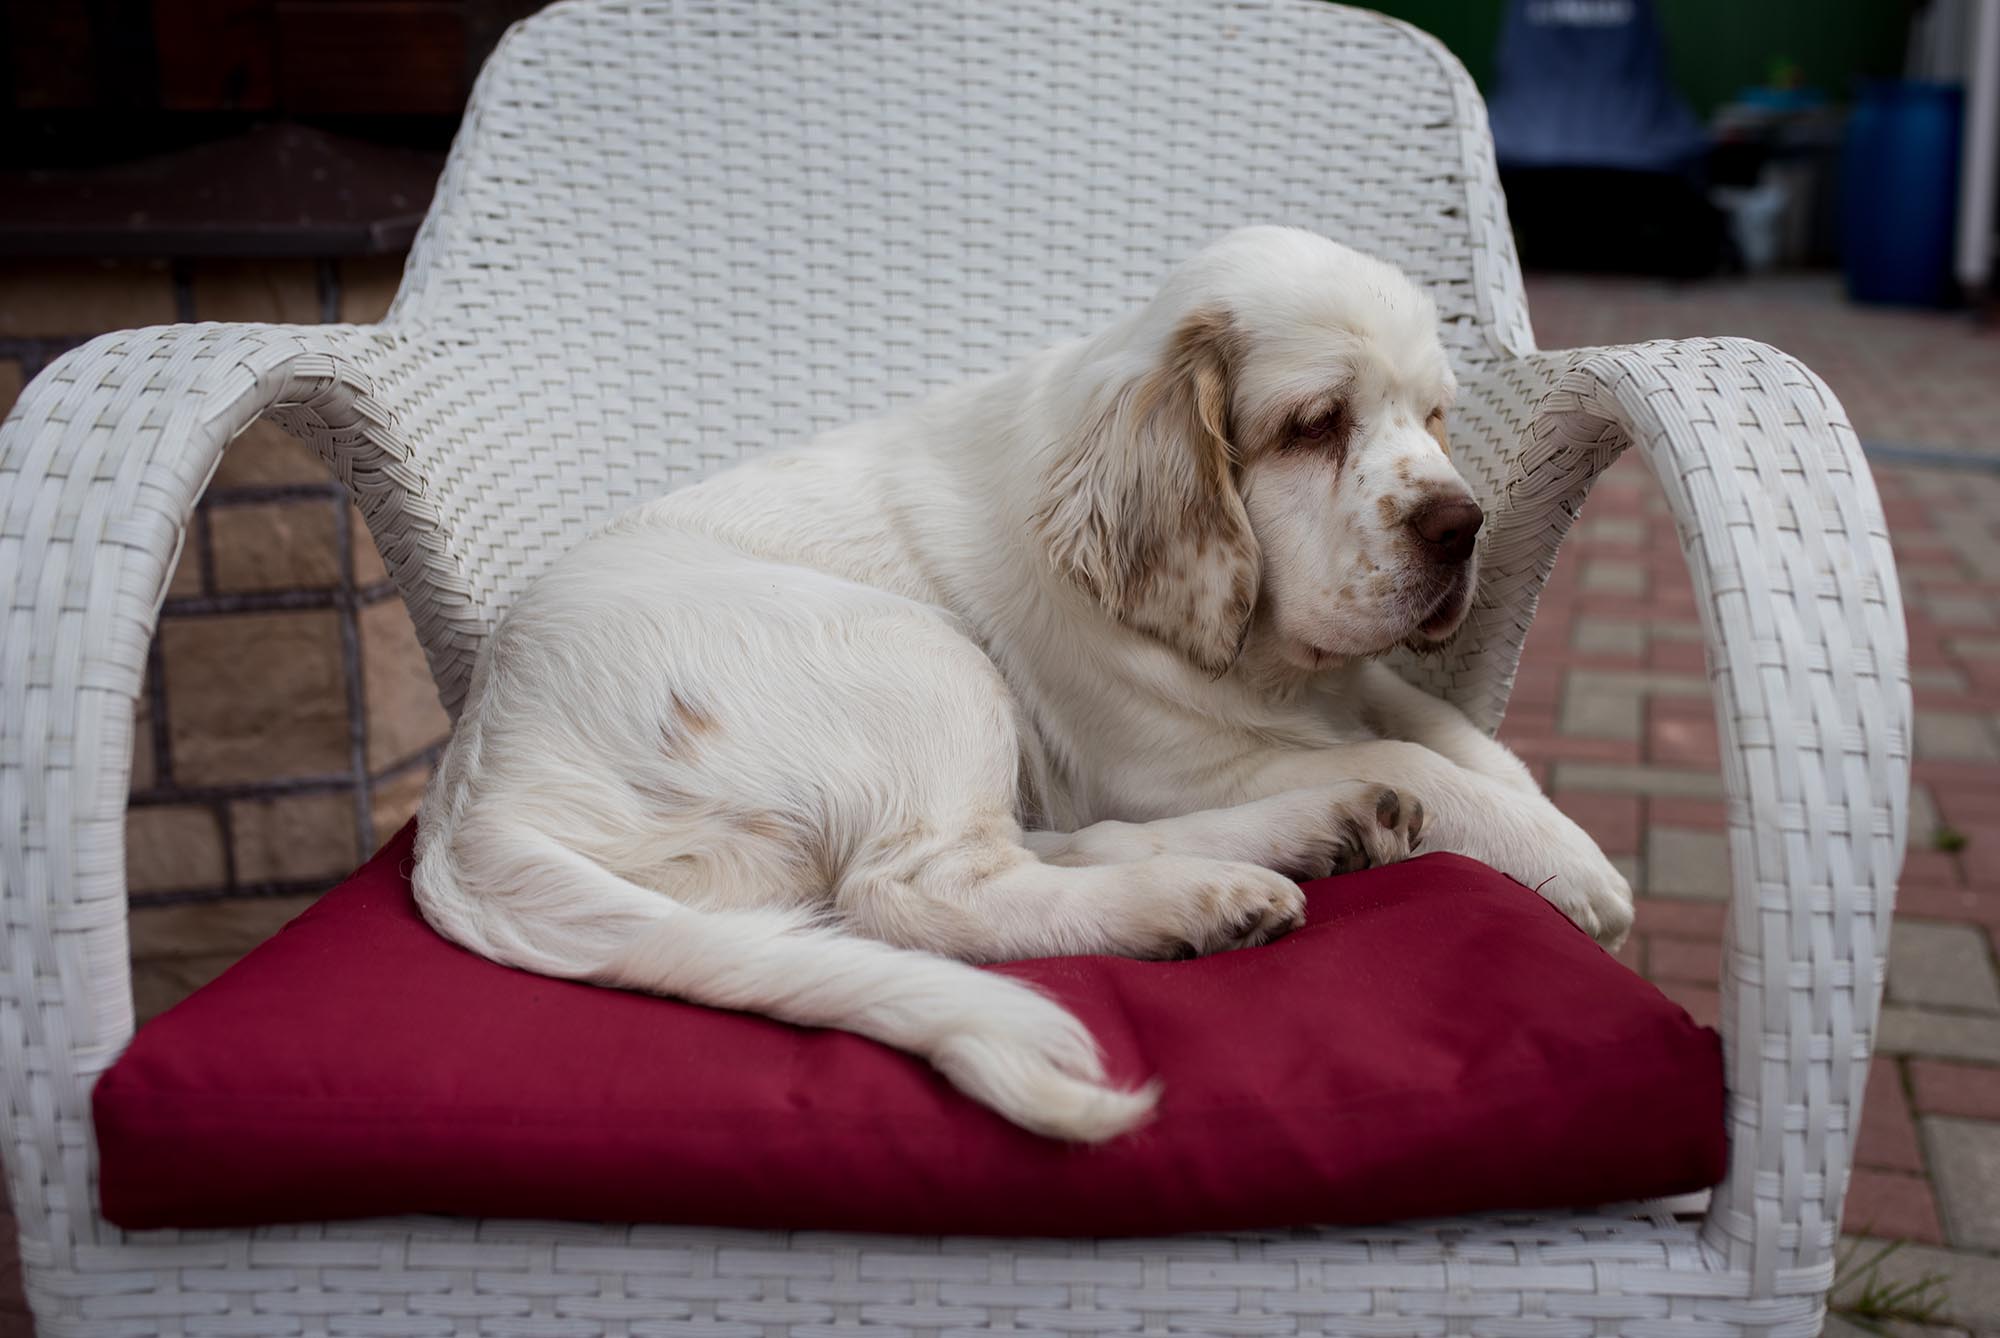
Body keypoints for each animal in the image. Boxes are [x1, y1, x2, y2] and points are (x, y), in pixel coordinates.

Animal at [414, 227, 1632, 1136]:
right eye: (1315, 425)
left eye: (1433, 417)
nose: (1461, 527)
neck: (1266, 664)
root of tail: (472, 786)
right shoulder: (1168, 763)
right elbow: (1420, 754)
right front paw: (1577, 870)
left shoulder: (1330, 697)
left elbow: (1447, 731)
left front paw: (1537, 815)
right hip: (924, 660)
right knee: (922, 894)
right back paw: (1203, 898)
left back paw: (1316, 833)